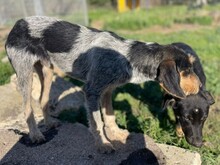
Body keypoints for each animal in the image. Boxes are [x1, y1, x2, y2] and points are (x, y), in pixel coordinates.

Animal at [5, 16, 201, 153]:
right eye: (186, 70)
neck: (127, 56)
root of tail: (18, 23)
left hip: (47, 72)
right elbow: (97, 122)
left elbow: (110, 116)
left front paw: (117, 133)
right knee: (27, 107)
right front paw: (103, 144)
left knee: (43, 99)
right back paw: (35, 134)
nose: (200, 86)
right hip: (25, 74)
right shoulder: (92, 91)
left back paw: (49, 123)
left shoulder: (108, 90)